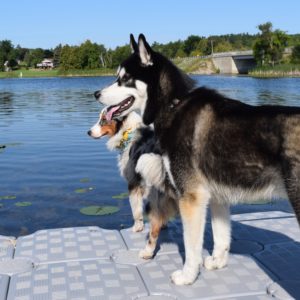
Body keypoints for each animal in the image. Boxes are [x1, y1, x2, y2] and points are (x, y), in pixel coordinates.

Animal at [95, 34, 300, 284]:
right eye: (118, 77)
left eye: (124, 79)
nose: (96, 94)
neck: (174, 105)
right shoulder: (217, 196)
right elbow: (221, 236)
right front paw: (218, 262)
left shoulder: (191, 197)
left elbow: (191, 245)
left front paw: (188, 275)